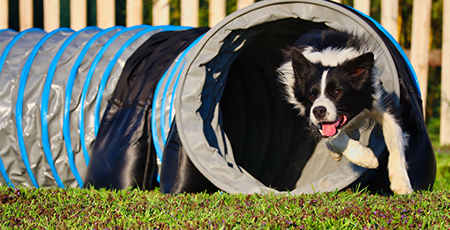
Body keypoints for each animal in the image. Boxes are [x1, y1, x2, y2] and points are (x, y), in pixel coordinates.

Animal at [280, 29, 414, 194]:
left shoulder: (382, 104)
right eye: (311, 95)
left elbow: (395, 141)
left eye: (337, 91)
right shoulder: (311, 115)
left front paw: (402, 185)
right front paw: (367, 158)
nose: (319, 111)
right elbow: (334, 138)